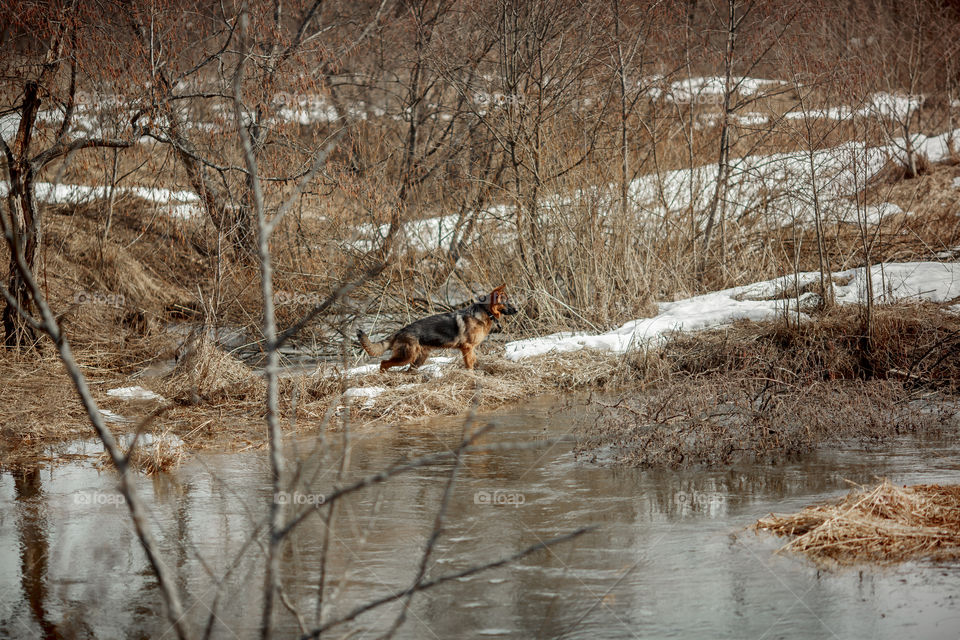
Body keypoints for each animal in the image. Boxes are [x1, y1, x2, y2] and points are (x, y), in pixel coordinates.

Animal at [356, 284, 516, 370]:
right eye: (507, 302)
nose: (517, 310)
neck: (485, 311)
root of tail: (400, 331)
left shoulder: (471, 350)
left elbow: (475, 362)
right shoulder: (467, 348)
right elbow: (469, 365)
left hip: (418, 359)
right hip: (406, 357)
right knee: (383, 363)